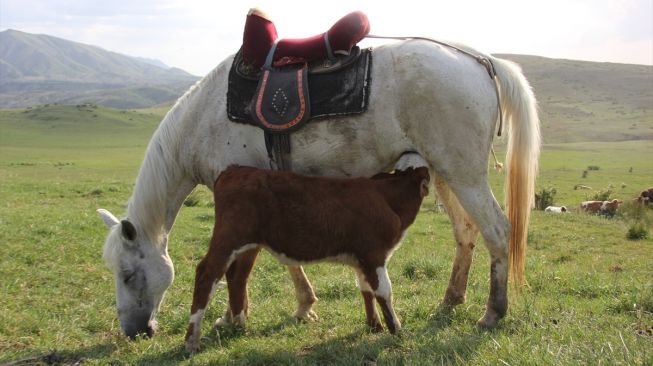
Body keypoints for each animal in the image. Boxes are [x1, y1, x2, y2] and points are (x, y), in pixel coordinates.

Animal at [185, 162, 428, 350]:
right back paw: (192, 339)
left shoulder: (362, 258)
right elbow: (385, 291)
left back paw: (239, 325)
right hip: (228, 239)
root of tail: (234, 170)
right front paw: (395, 328)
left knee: (236, 277)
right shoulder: (374, 254)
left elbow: (366, 289)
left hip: (246, 245)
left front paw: (374, 326)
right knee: (207, 273)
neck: (386, 198)